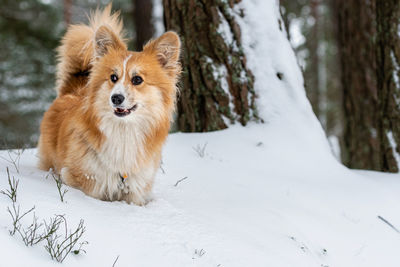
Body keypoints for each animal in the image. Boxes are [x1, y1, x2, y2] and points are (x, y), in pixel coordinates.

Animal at [37, 6, 181, 206]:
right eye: (113, 77)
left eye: (137, 80)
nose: (116, 98)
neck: (124, 131)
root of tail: (71, 91)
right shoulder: (82, 179)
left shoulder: (135, 191)